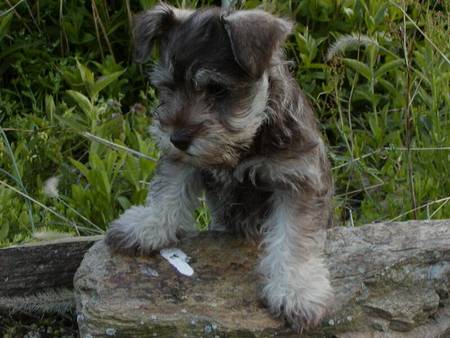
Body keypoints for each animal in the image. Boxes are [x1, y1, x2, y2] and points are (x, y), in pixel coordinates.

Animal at [103, 2, 332, 330]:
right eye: (167, 86)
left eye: (216, 89)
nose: (178, 138)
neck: (247, 141)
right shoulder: (183, 161)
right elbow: (168, 191)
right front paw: (147, 226)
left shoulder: (297, 179)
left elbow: (294, 237)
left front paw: (296, 292)